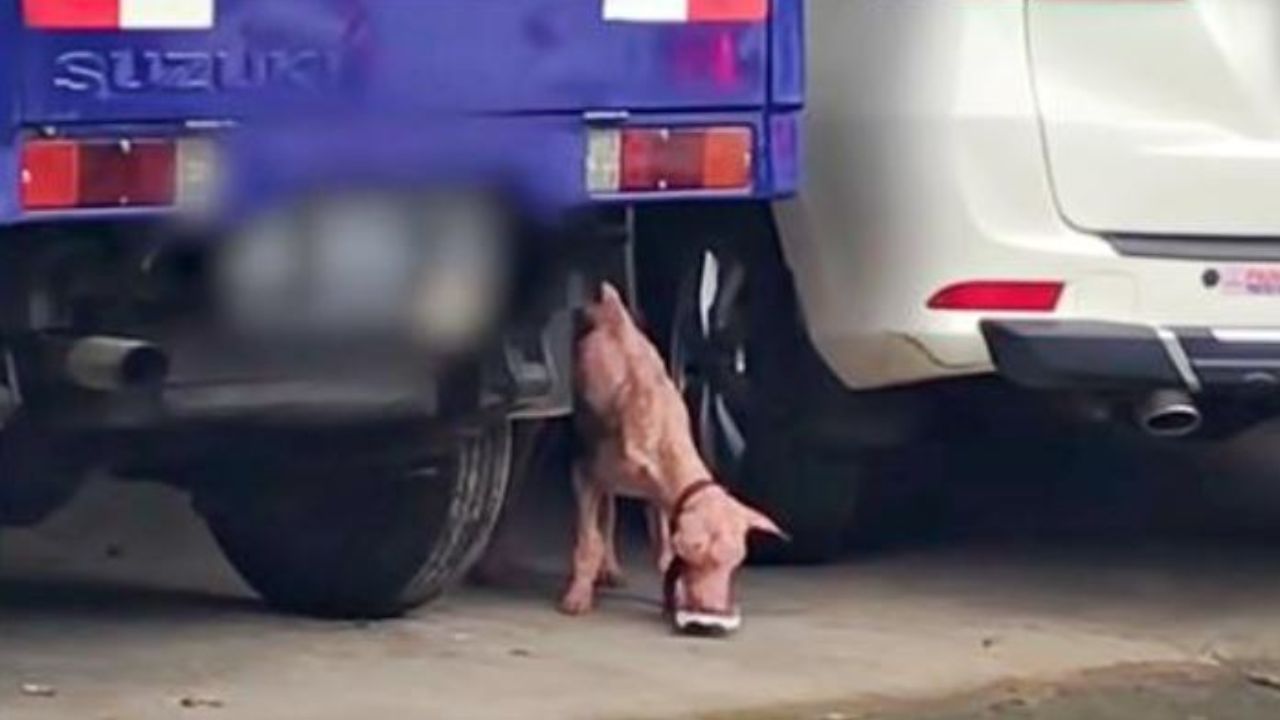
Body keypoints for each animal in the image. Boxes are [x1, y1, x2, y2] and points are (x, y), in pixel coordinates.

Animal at [560, 283, 778, 630]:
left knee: (609, 515)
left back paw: (611, 569)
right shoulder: (584, 474)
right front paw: (577, 597)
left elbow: (661, 549)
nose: (714, 609)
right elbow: (588, 540)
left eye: (735, 563)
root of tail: (610, 308)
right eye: (702, 558)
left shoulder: (662, 497)